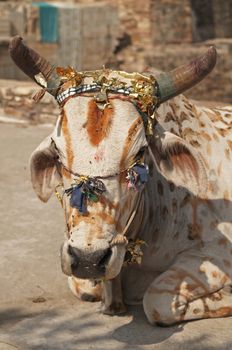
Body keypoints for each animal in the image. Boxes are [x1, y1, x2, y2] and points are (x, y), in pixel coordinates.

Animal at [9, 35, 232, 326]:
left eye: (141, 151)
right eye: (57, 151)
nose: (89, 259)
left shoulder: (217, 255)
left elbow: (156, 301)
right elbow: (84, 288)